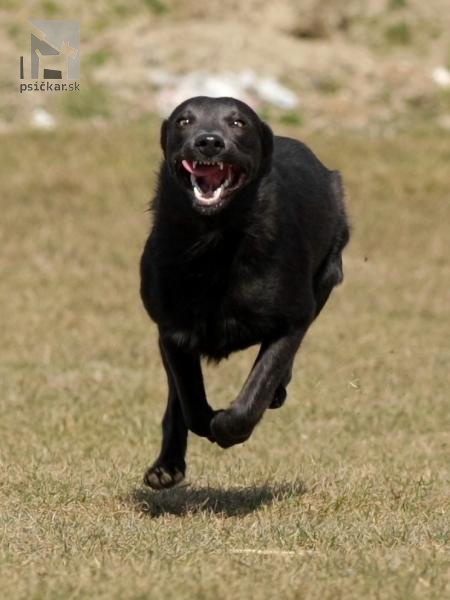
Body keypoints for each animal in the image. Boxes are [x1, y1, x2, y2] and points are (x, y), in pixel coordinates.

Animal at [139, 95, 350, 488]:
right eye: (184, 120)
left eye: (238, 123)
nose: (209, 142)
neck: (216, 241)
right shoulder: (170, 330)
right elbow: (189, 398)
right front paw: (202, 423)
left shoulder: (293, 320)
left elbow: (257, 389)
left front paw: (226, 426)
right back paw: (166, 467)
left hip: (328, 275)